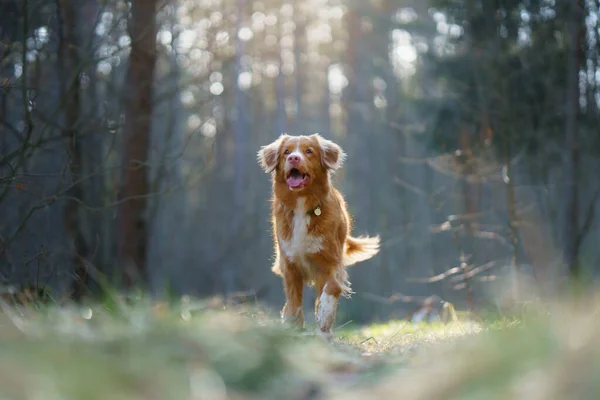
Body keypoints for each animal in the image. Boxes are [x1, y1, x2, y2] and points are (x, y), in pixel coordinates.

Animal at [258, 134, 380, 334]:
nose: (294, 158)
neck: (301, 206)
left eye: (309, 151)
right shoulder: (289, 264)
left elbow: (332, 287)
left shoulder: (331, 260)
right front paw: (293, 325)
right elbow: (294, 301)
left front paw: (324, 314)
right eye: (286, 152)